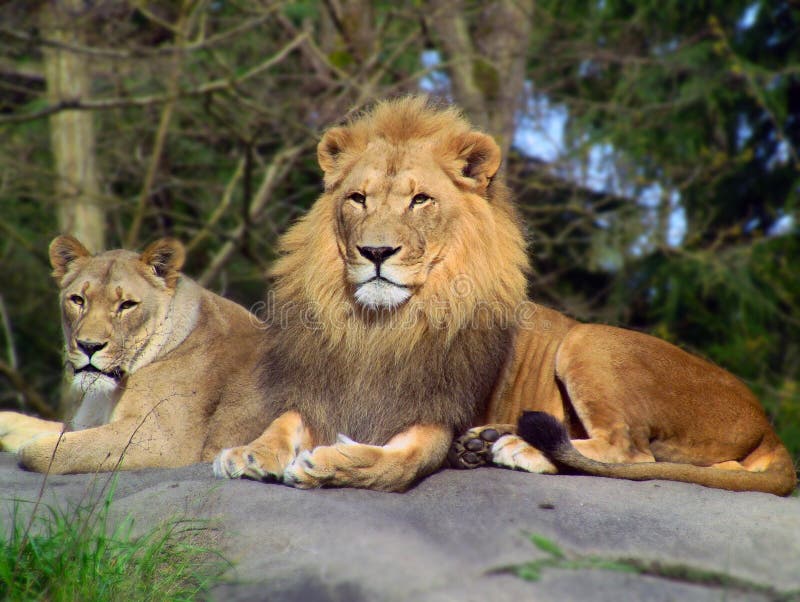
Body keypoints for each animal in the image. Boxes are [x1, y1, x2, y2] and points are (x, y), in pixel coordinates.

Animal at [0, 235, 271, 473]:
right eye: (78, 300)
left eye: (127, 305)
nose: (89, 346)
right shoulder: (88, 423)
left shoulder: (163, 440)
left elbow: (52, 449)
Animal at [215, 96, 796, 495]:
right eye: (357, 198)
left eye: (420, 200)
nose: (375, 251)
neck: (380, 325)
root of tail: (766, 423)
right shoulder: (323, 391)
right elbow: (282, 423)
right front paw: (248, 453)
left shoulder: (432, 419)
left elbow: (393, 463)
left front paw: (329, 465)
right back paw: (487, 442)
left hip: (588, 342)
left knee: (633, 454)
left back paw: (519, 447)